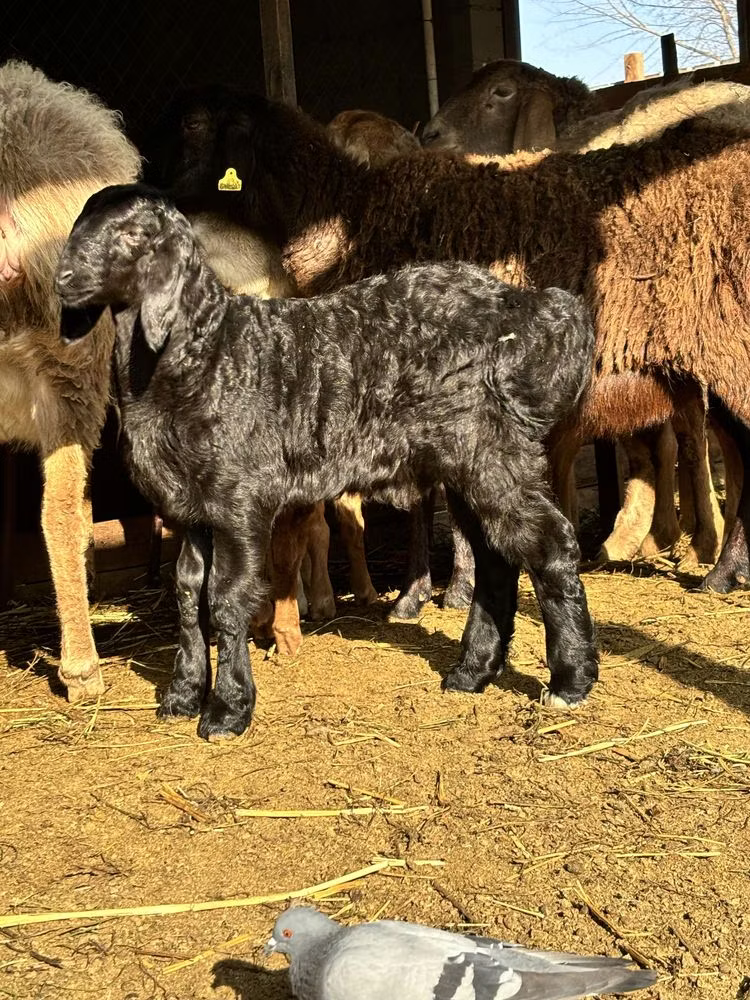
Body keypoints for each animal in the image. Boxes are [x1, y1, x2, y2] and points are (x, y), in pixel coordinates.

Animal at [55, 182, 598, 739]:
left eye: (132, 233)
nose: (63, 280)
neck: (206, 356)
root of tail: (525, 309)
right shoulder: (190, 510)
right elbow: (187, 591)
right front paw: (183, 696)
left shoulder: (238, 501)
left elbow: (226, 598)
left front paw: (228, 710)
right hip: (468, 461)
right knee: (495, 555)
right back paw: (471, 672)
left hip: (493, 453)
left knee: (550, 544)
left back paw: (569, 680)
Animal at [140, 84, 750, 598]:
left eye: (193, 124)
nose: (146, 190)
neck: (348, 217)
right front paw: (436, 588)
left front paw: (450, 591)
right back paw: (722, 574)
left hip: (730, 347)